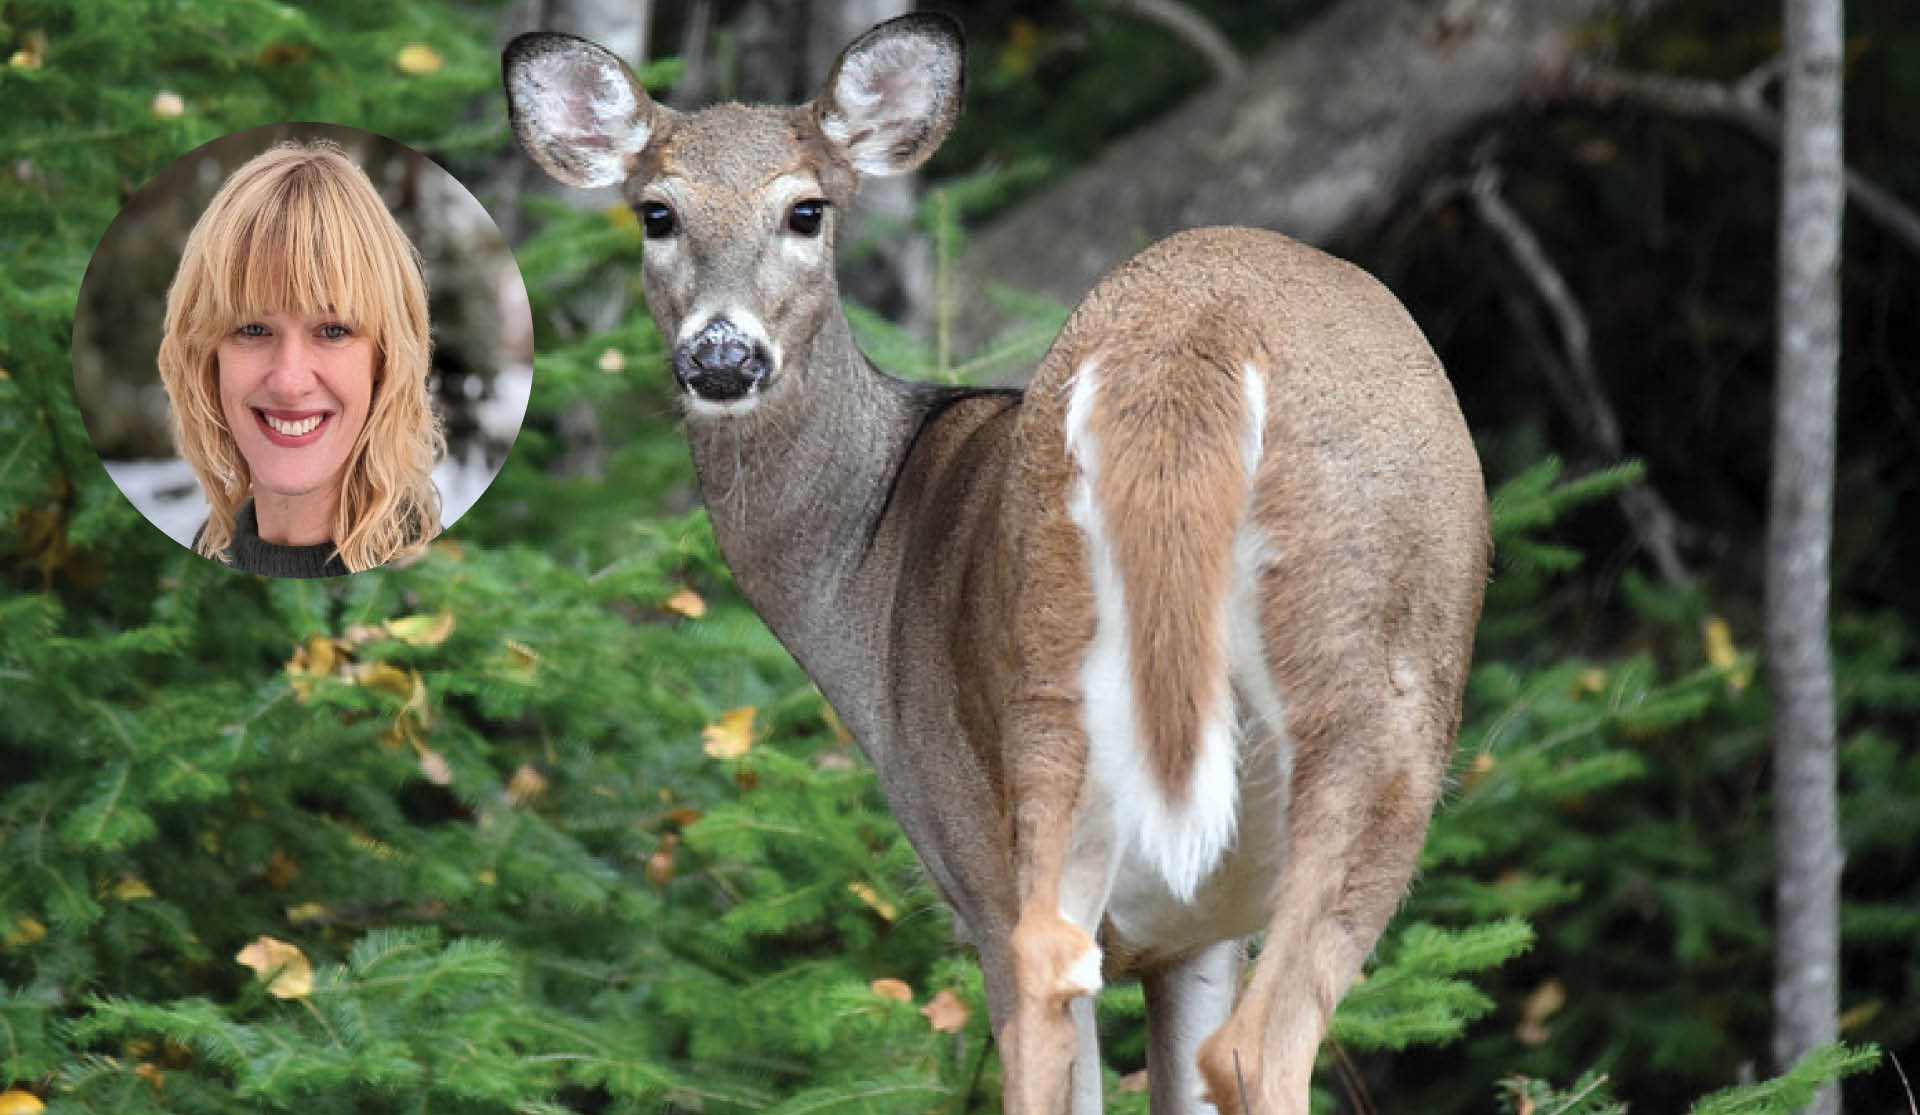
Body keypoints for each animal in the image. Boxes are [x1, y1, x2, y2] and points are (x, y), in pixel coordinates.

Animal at [506, 15, 1482, 1113]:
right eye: (657, 213)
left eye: (806, 209)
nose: (721, 357)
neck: (870, 557)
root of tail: (1198, 342)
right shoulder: (1175, 916)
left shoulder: (1049, 877)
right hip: (1272, 697)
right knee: (1202, 1025)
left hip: (1106, 690)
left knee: (1110, 996)